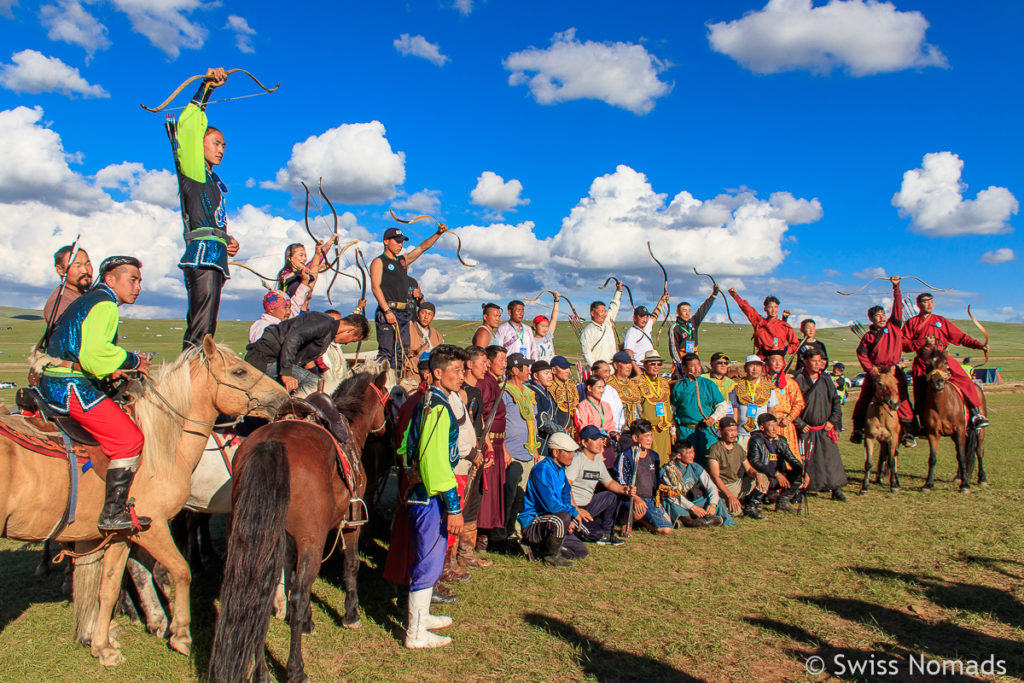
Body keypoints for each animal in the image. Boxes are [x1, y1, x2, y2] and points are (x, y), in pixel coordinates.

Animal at [0, 335, 288, 667]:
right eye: (240, 372)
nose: (283, 398)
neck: (162, 446)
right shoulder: (154, 526)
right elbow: (183, 570)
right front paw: (182, 634)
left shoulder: (124, 533)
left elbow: (109, 585)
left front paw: (104, 646)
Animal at [206, 368, 387, 683]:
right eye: (387, 400)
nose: (386, 427)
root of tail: (271, 445)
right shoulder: (349, 522)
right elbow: (349, 566)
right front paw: (351, 615)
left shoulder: (287, 542)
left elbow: (289, 581)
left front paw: (305, 622)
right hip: (311, 541)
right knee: (299, 595)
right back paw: (295, 669)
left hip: (252, 537)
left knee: (259, 597)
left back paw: (262, 674)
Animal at [917, 350, 987, 493]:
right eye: (927, 363)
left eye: (945, 362)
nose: (937, 382)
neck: (942, 405)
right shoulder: (932, 434)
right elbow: (933, 458)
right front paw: (928, 484)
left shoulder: (959, 430)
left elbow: (962, 456)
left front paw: (965, 485)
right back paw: (958, 477)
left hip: (979, 431)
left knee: (979, 450)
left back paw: (982, 478)